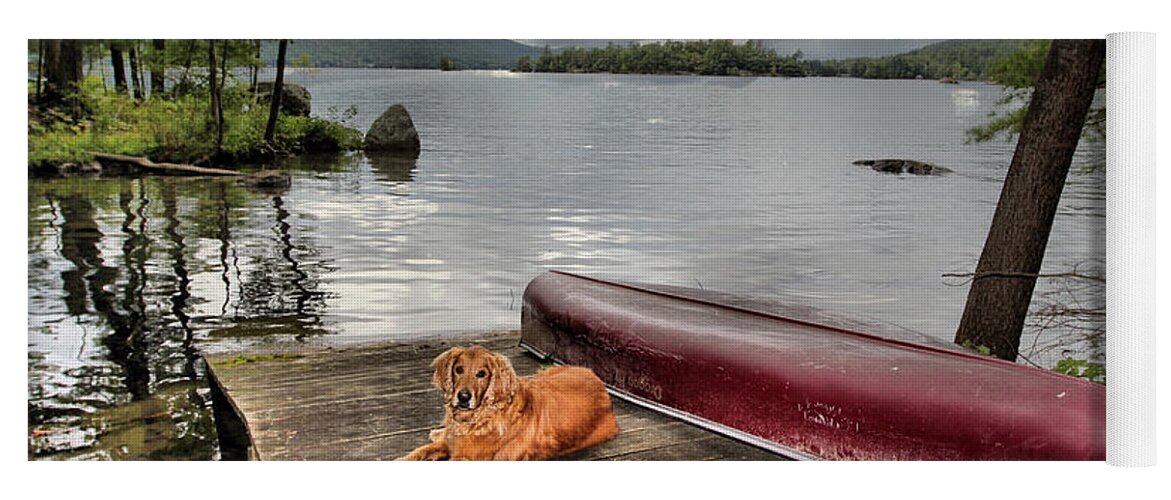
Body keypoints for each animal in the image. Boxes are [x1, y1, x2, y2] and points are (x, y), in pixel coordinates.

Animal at [402, 346, 622, 459]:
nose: (463, 397)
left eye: (481, 374)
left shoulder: (465, 457)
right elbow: (418, 452)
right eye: (459, 369)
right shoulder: (451, 443)